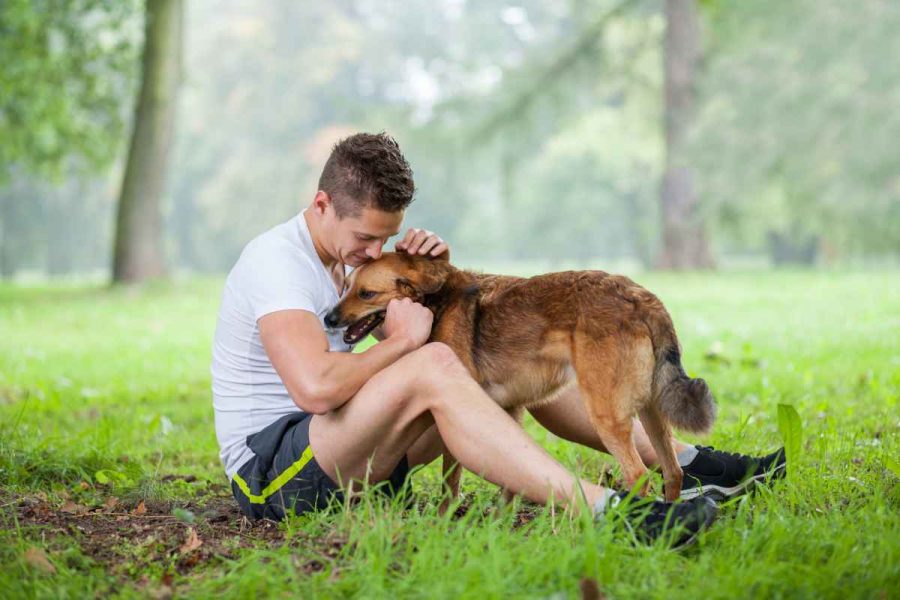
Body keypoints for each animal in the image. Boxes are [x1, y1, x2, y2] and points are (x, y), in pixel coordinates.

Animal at [326, 252, 716, 506]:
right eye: (345, 287)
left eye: (366, 294)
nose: (328, 318)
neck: (435, 303)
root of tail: (641, 298)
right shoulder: (510, 409)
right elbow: (509, 485)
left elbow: (450, 482)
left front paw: (446, 518)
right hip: (651, 412)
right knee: (672, 472)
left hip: (606, 413)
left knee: (638, 476)